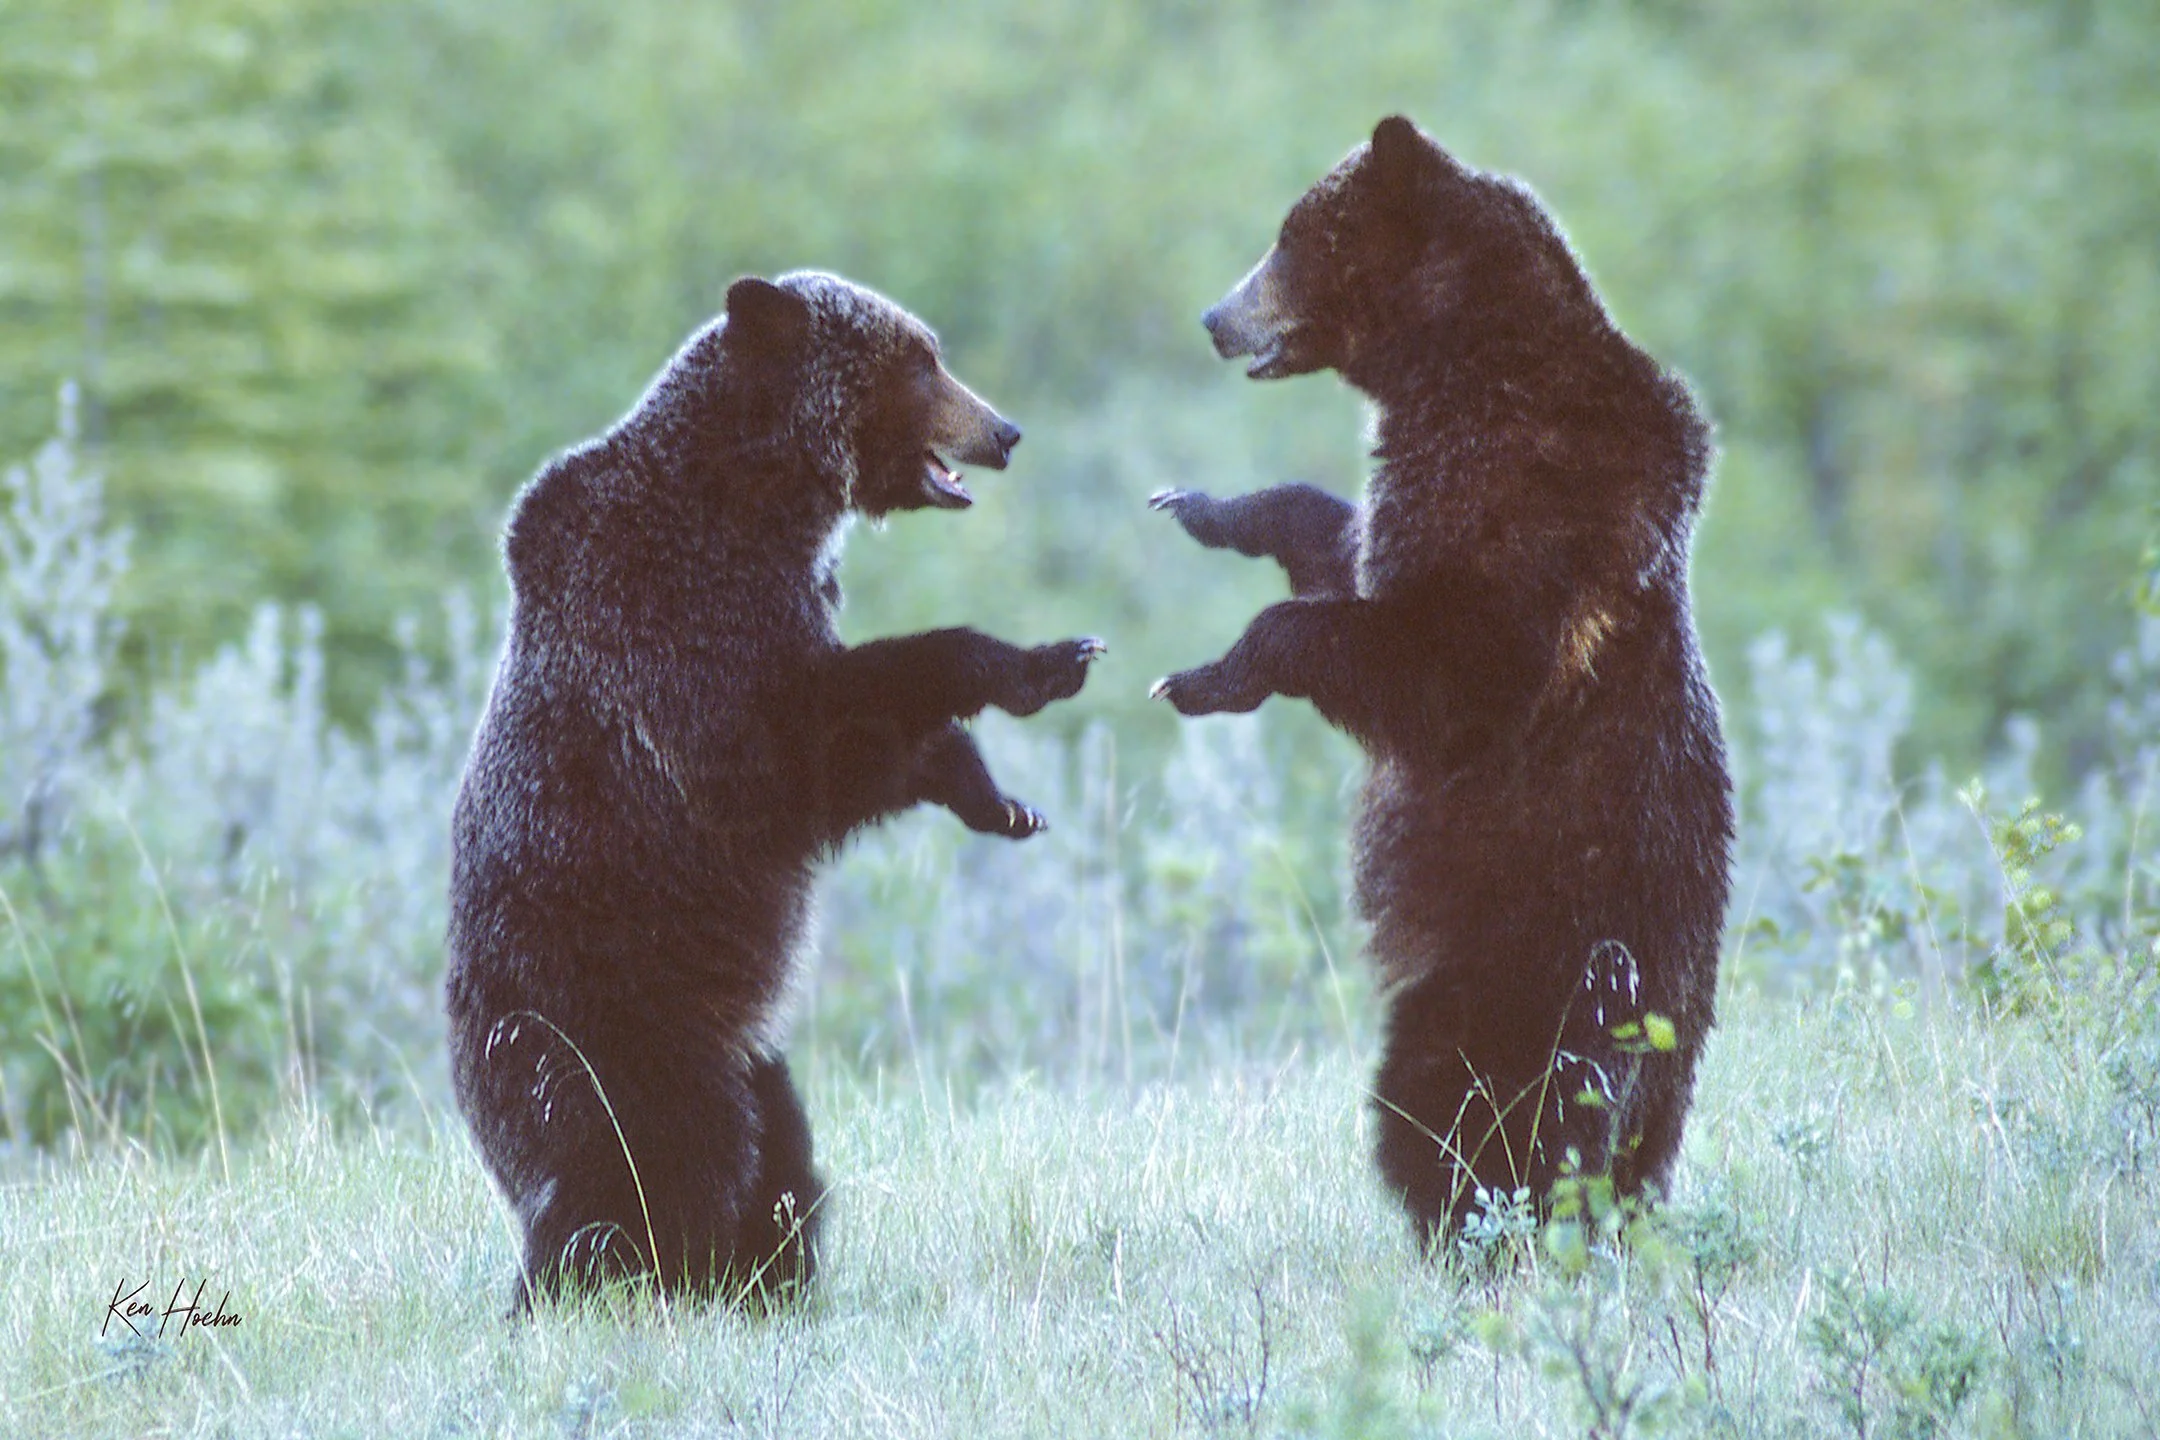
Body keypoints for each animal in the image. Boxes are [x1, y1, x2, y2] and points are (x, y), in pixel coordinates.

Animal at [445, 270, 1104, 1308]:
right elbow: (789, 751)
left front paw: (999, 798)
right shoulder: (674, 637)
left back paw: (767, 1272)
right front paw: (1038, 664)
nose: (1004, 431)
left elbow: (859, 751)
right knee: (662, 1162)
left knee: (774, 1150)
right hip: (613, 1022)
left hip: (740, 1050)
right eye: (921, 360)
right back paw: (630, 1279)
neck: (754, 504)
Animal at [1150, 116, 1733, 1244]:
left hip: (1537, 966)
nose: (1213, 318)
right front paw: (1201, 506)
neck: (1457, 365)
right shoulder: (1418, 505)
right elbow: (1341, 549)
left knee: (1465, 1099)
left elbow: (1444, 671)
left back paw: (1471, 1223)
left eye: (1289, 237)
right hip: (1660, 1051)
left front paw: (1204, 676)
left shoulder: (1529, 520)